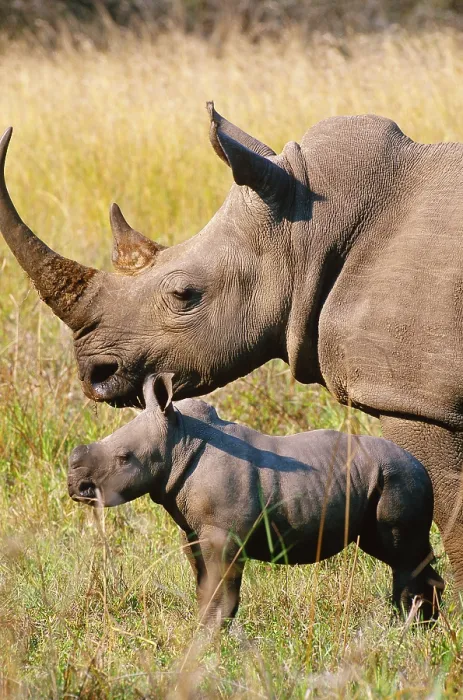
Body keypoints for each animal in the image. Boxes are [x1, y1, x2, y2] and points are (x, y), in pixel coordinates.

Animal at [68, 374, 444, 626]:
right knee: (398, 553)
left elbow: (223, 589)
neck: (178, 442)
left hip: (399, 477)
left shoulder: (224, 536)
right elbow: (204, 585)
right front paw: (203, 631)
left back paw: (406, 627)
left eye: (124, 458)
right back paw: (423, 628)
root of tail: (423, 467)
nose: (75, 486)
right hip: (388, 477)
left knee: (400, 554)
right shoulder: (194, 532)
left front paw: (211, 636)